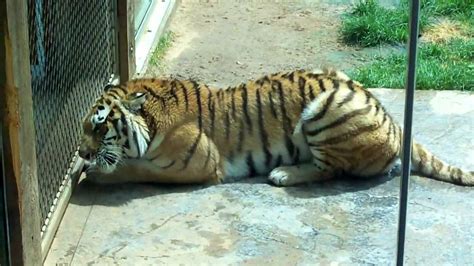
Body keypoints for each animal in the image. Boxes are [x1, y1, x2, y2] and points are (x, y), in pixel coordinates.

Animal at [78, 68, 474, 187]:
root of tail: (396, 125)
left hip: (327, 107)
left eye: (99, 127)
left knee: (332, 170)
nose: (81, 153)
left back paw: (283, 174)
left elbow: (138, 169)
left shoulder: (198, 164)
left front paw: (95, 174)